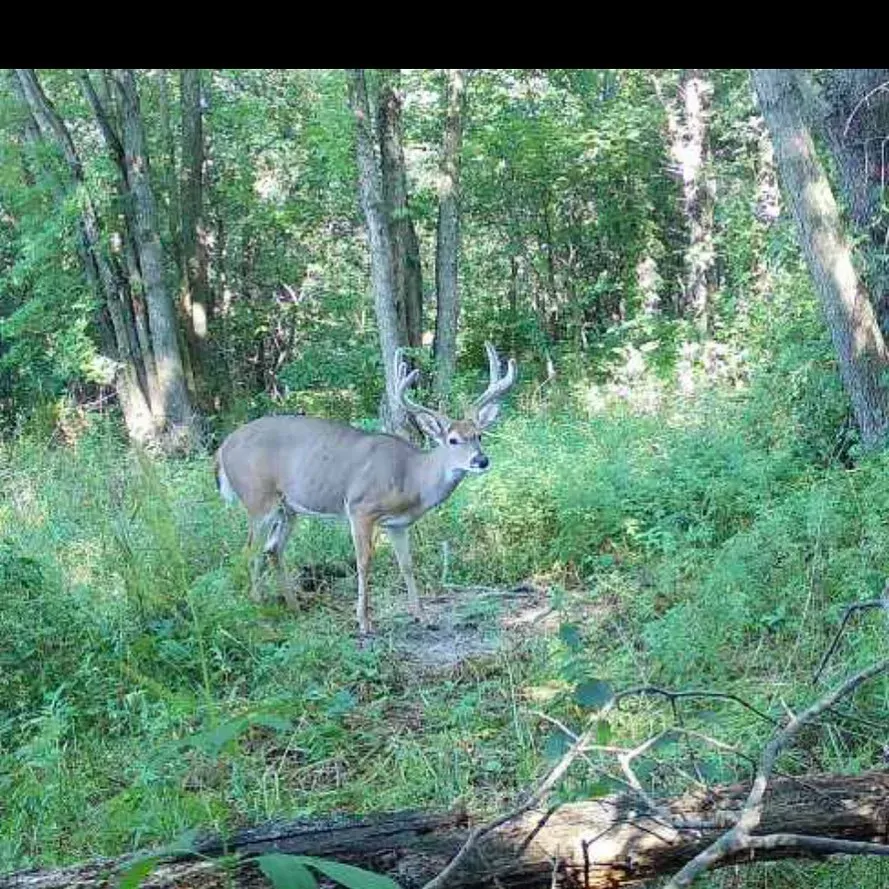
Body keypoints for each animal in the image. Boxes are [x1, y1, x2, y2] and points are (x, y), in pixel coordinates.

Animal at [215, 343, 518, 636]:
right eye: (453, 440)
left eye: (479, 435)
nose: (481, 460)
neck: (411, 478)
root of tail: (222, 449)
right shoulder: (360, 508)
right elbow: (364, 561)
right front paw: (363, 621)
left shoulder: (398, 524)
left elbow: (407, 564)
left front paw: (422, 616)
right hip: (258, 498)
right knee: (250, 550)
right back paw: (259, 610)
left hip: (288, 508)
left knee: (272, 549)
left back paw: (293, 608)